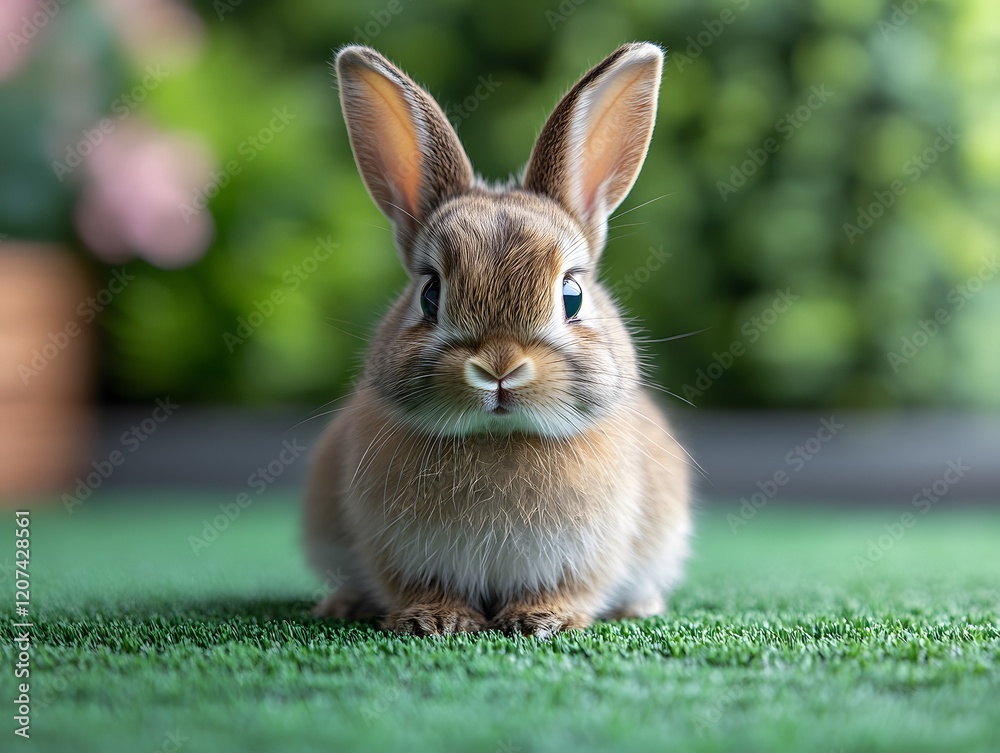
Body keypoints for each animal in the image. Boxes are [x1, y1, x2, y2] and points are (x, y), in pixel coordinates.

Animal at [304, 42, 692, 637]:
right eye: (430, 294)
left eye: (572, 294)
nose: (499, 367)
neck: (498, 438)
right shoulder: (396, 554)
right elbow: (414, 586)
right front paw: (434, 620)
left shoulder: (587, 557)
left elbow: (572, 587)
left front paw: (543, 620)